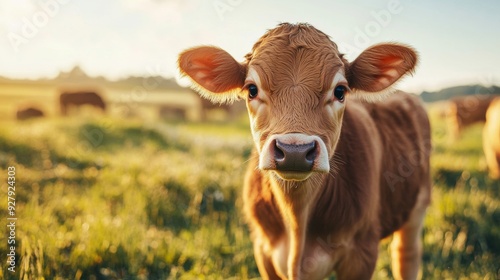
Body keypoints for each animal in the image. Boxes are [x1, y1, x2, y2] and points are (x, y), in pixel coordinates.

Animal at [178, 23, 432, 278]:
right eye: (252, 89)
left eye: (340, 91)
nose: (294, 151)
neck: (297, 224)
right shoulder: (262, 249)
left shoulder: (362, 253)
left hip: (417, 206)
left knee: (406, 256)